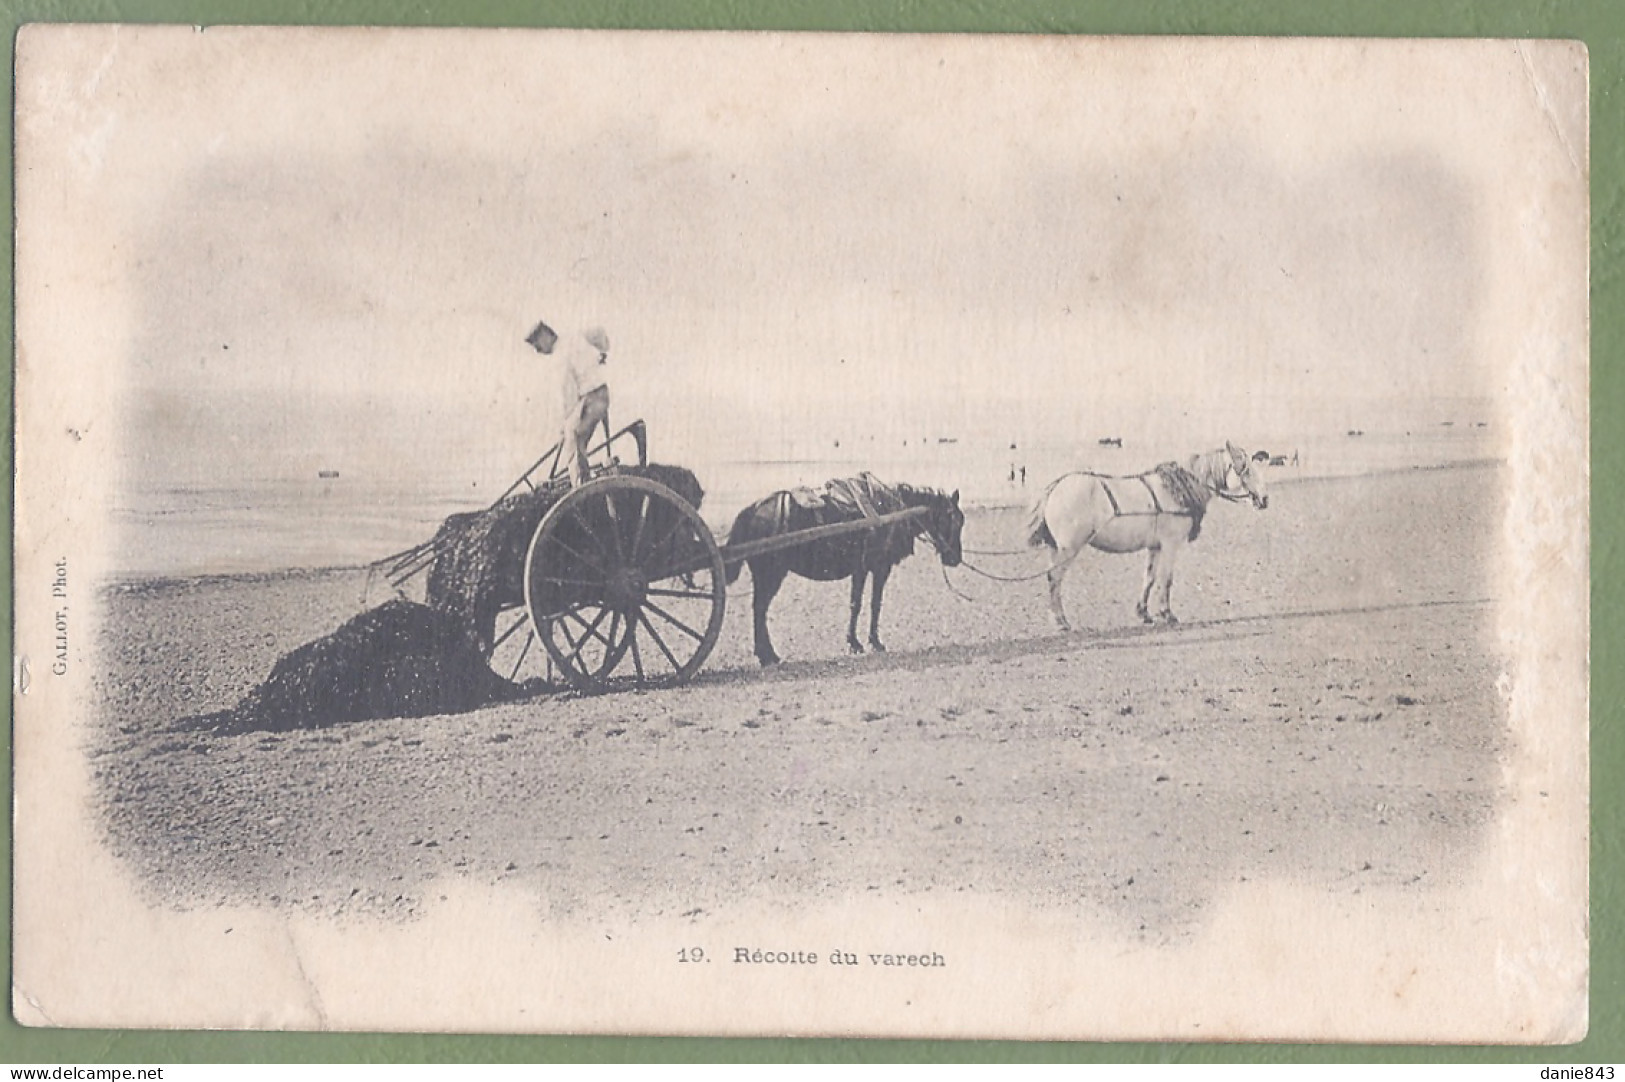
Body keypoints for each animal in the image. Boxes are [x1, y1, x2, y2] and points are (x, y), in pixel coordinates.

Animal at [724, 474, 962, 666]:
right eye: (956, 520)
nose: (956, 558)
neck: (892, 508)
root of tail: (754, 509)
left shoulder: (862, 569)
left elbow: (857, 603)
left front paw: (857, 641)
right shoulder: (878, 568)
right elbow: (870, 604)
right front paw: (868, 642)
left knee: (759, 609)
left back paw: (767, 654)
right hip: (771, 574)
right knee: (760, 609)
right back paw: (767, 655)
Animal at [1027, 441, 1267, 627]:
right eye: (1245, 469)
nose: (1264, 499)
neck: (1177, 489)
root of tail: (1056, 487)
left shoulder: (1155, 546)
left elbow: (1150, 578)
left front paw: (1144, 613)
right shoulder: (1170, 544)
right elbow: (1166, 579)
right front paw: (1167, 614)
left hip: (1056, 548)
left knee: (1052, 579)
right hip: (1068, 548)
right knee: (1055, 579)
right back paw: (1061, 621)